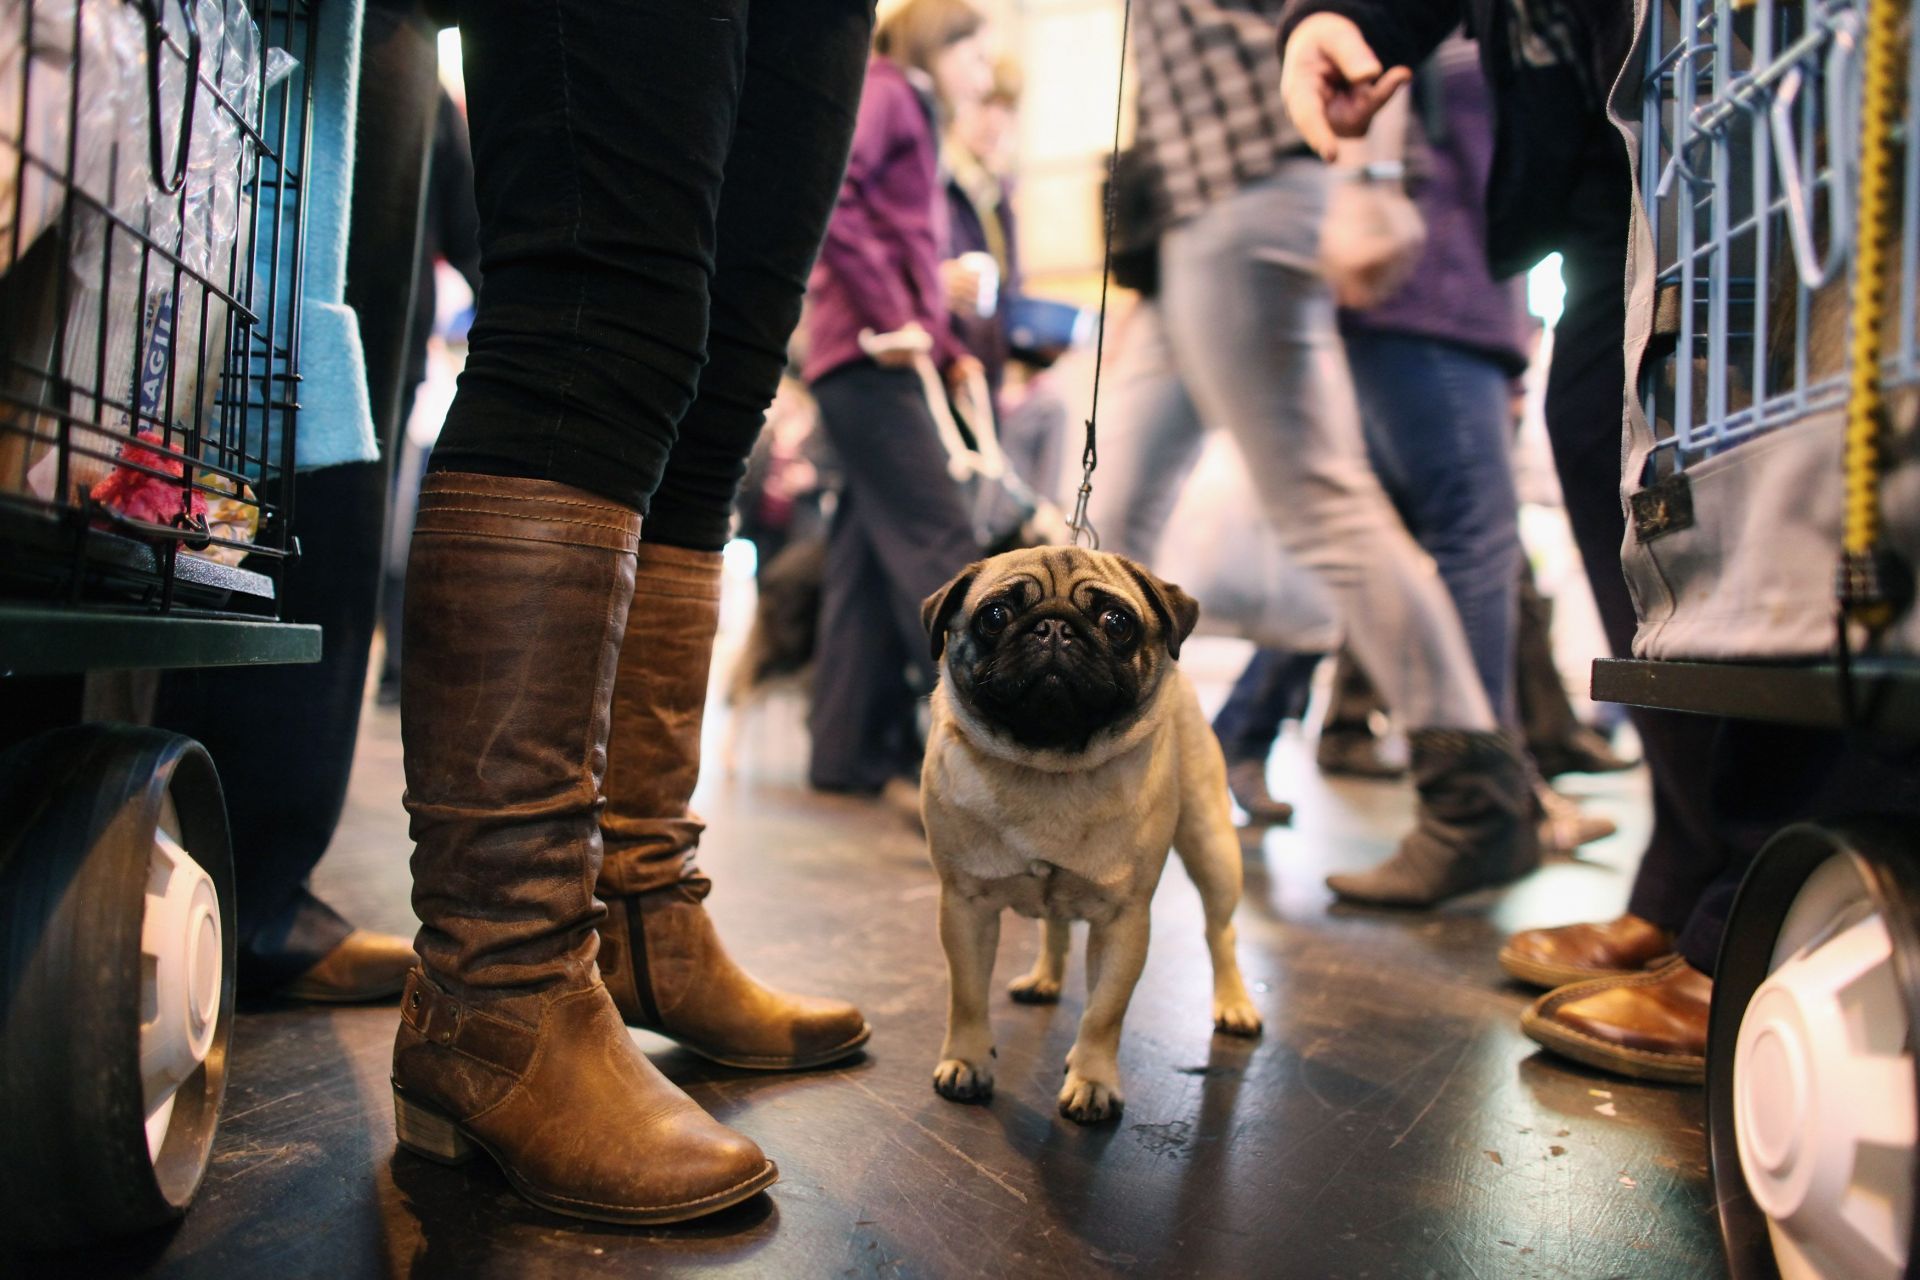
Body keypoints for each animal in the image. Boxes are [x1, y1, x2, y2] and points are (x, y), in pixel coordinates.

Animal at [921, 545, 1267, 1128]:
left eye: (1116, 622)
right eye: (994, 616)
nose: (1054, 627)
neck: (1049, 764)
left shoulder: (1124, 921)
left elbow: (1104, 1012)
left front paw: (1093, 1082)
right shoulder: (964, 906)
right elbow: (966, 994)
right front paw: (966, 1063)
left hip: (1213, 848)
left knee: (1221, 934)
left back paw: (1235, 1004)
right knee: (1055, 927)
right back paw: (1043, 978)